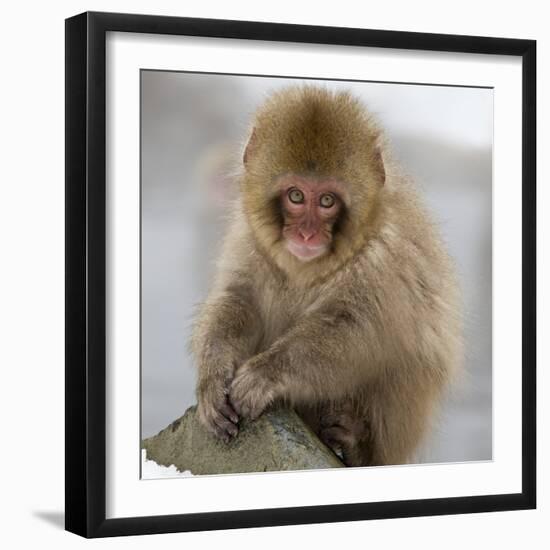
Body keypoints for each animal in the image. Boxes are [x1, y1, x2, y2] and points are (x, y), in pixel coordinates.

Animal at [192, 85, 464, 466]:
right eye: (295, 195)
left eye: (326, 201)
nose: (307, 235)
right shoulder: (249, 240)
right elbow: (239, 299)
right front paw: (213, 376)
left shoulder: (384, 258)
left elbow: (357, 331)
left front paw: (266, 373)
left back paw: (356, 444)